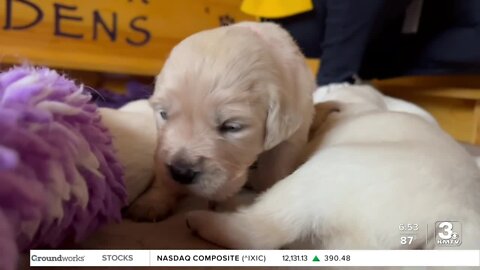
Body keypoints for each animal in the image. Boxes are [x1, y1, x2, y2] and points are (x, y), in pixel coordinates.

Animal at [126, 22, 316, 220]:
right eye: (163, 114)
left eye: (231, 127)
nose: (181, 172)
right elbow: (161, 175)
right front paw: (152, 201)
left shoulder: (292, 133)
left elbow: (274, 170)